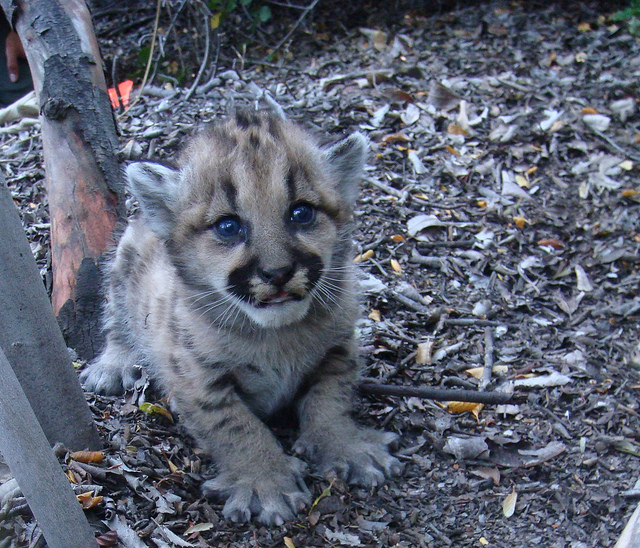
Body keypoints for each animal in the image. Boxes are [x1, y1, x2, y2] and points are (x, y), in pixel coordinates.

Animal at [80, 110, 400, 524]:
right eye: (228, 226)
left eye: (301, 213)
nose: (278, 272)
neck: (276, 335)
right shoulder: (196, 380)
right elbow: (236, 427)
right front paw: (265, 483)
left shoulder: (339, 348)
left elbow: (331, 398)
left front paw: (347, 446)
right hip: (123, 264)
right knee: (117, 319)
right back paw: (112, 365)